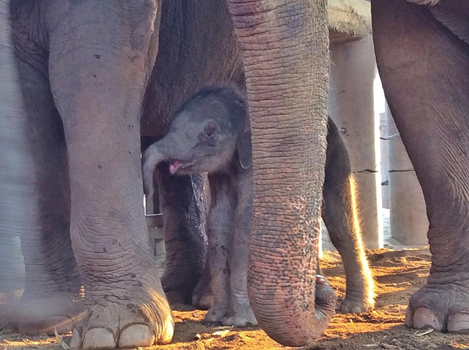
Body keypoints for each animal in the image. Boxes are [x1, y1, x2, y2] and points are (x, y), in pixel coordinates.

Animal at [0, 0, 332, 350]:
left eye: (210, 132)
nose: (320, 289)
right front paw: (51, 318)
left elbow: (94, 62)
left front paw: (119, 332)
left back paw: (202, 300)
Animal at [143, 86, 372, 326]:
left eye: (209, 133)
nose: (147, 190)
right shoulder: (222, 174)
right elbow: (218, 223)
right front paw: (214, 318)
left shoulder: (255, 168)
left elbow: (245, 225)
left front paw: (241, 321)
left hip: (336, 157)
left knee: (340, 225)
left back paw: (354, 306)